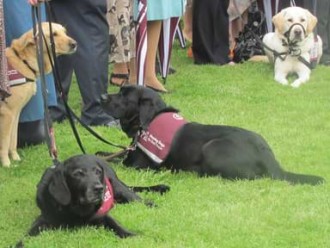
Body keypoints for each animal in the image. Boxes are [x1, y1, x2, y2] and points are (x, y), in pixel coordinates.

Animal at [0, 23, 76, 167]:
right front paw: (6, 163)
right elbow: (5, 142)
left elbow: (13, 140)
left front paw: (15, 158)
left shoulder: (15, 113)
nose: (74, 44)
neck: (23, 61)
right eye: (53, 34)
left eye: (64, 32)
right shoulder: (7, 113)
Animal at [16, 155, 169, 246]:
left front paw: (131, 235)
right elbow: (27, 235)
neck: (75, 208)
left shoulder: (102, 215)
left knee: (135, 196)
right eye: (78, 174)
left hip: (119, 188)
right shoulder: (44, 219)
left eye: (97, 172)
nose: (99, 188)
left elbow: (116, 225)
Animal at [99, 84, 324, 185]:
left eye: (124, 96)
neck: (149, 120)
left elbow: (116, 162)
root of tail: (267, 154)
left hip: (213, 147)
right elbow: (109, 154)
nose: (101, 97)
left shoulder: (139, 165)